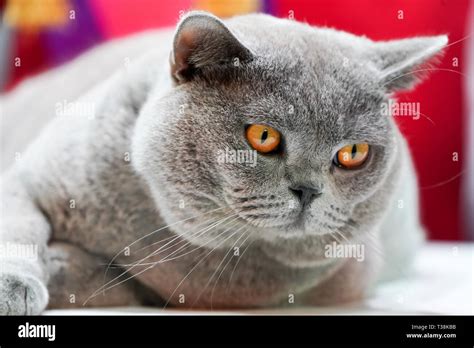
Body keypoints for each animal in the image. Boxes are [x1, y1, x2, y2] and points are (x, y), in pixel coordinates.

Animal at [0, 12, 446, 314]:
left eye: (353, 153)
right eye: (263, 136)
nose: (308, 190)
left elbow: (110, 278)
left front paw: (60, 266)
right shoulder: (23, 179)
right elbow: (19, 227)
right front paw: (14, 286)